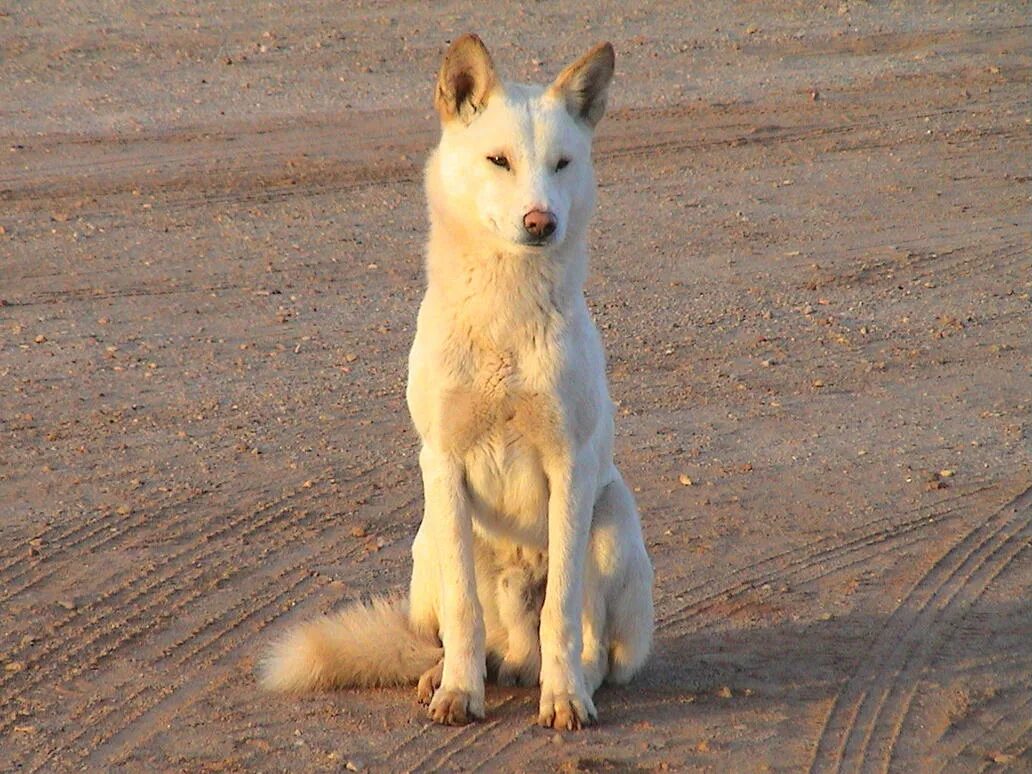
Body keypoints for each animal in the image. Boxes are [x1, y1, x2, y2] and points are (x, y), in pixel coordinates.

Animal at [264, 31, 652, 734]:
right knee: (456, 631)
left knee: (588, 642)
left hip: (610, 522)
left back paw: (571, 682)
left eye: (562, 164)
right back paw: (439, 675)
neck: (504, 314)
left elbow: (561, 611)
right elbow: (465, 614)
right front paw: (459, 693)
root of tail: (517, 655)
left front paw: (563, 699)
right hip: (429, 546)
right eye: (498, 160)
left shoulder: (571, 468)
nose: (541, 222)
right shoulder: (442, 462)